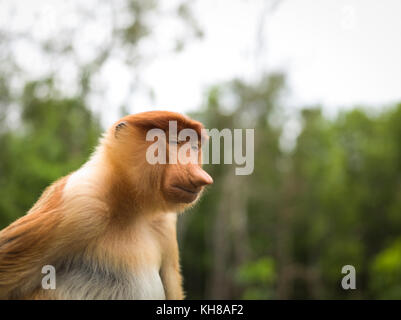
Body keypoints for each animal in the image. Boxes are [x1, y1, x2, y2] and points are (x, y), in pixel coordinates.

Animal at [0, 110, 212, 300]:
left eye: (195, 147)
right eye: (175, 142)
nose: (203, 178)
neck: (131, 205)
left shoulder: (165, 223)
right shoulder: (81, 201)